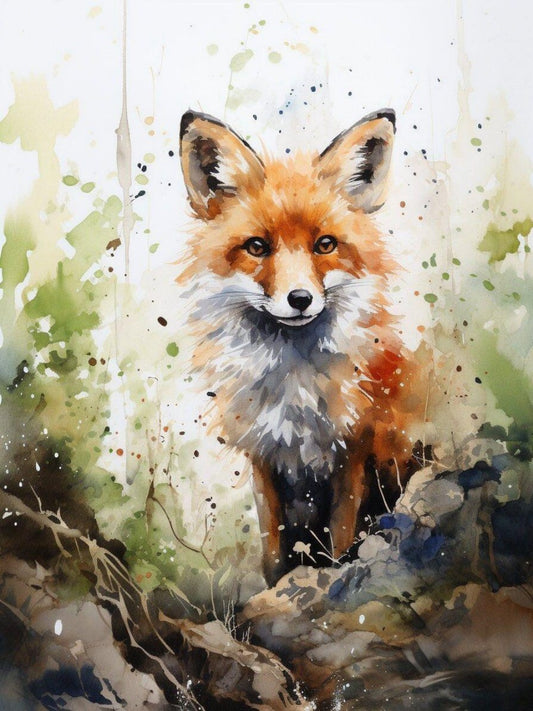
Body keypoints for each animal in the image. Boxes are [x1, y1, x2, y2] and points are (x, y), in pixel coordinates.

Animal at [178, 108, 427, 586]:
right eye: (257, 247)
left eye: (324, 244)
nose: (300, 299)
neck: (295, 392)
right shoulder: (264, 461)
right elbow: (274, 555)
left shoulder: (353, 454)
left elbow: (341, 541)